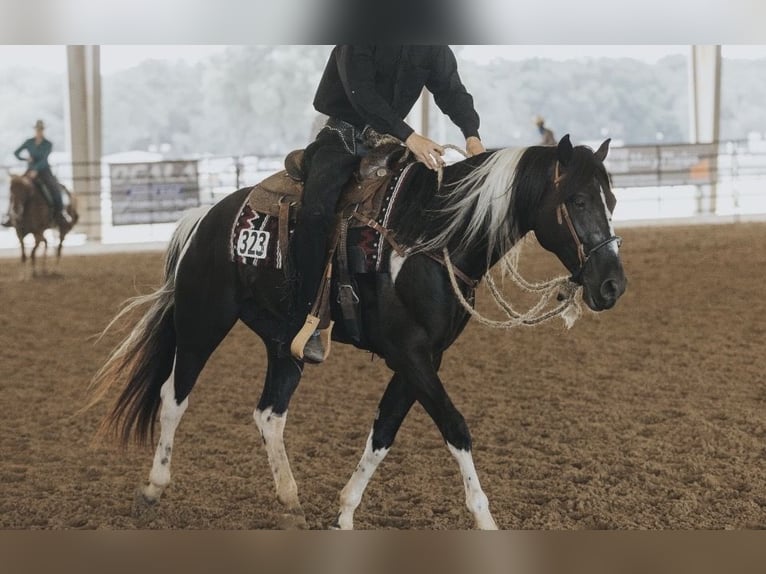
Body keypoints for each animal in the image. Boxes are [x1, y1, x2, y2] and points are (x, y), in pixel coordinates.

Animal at [90, 134, 627, 529]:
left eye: (613, 199)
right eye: (578, 200)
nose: (612, 284)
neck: (434, 237)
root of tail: (206, 218)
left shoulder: (424, 358)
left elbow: (384, 430)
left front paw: (345, 511)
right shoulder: (409, 354)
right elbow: (455, 427)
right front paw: (485, 519)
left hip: (283, 342)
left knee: (269, 414)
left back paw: (290, 499)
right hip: (202, 321)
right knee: (173, 396)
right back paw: (154, 486)